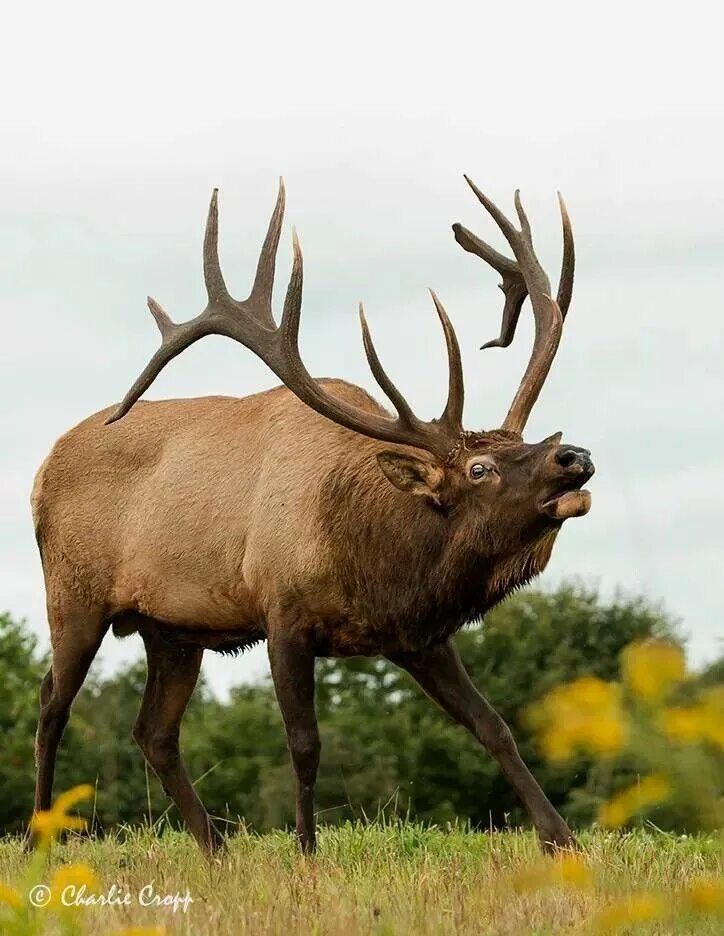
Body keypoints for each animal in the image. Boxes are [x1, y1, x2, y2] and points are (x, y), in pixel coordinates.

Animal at [29, 176, 592, 856]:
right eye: (480, 468)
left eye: (527, 440)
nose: (573, 455)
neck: (372, 559)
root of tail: (40, 474)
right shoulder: (283, 614)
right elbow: (304, 744)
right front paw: (306, 850)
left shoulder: (419, 637)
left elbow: (494, 725)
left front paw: (561, 840)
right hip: (73, 596)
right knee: (51, 706)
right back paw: (35, 841)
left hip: (171, 629)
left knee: (153, 732)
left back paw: (216, 850)